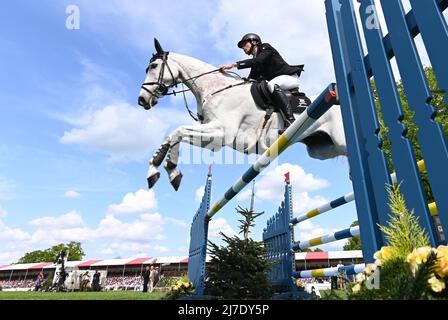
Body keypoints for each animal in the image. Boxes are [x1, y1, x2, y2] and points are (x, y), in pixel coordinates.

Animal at [137, 39, 346, 190]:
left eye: (154, 66)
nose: (142, 100)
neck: (215, 89)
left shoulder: (222, 132)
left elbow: (177, 132)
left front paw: (166, 169)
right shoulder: (214, 140)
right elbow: (173, 135)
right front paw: (161, 171)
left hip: (340, 141)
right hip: (323, 150)